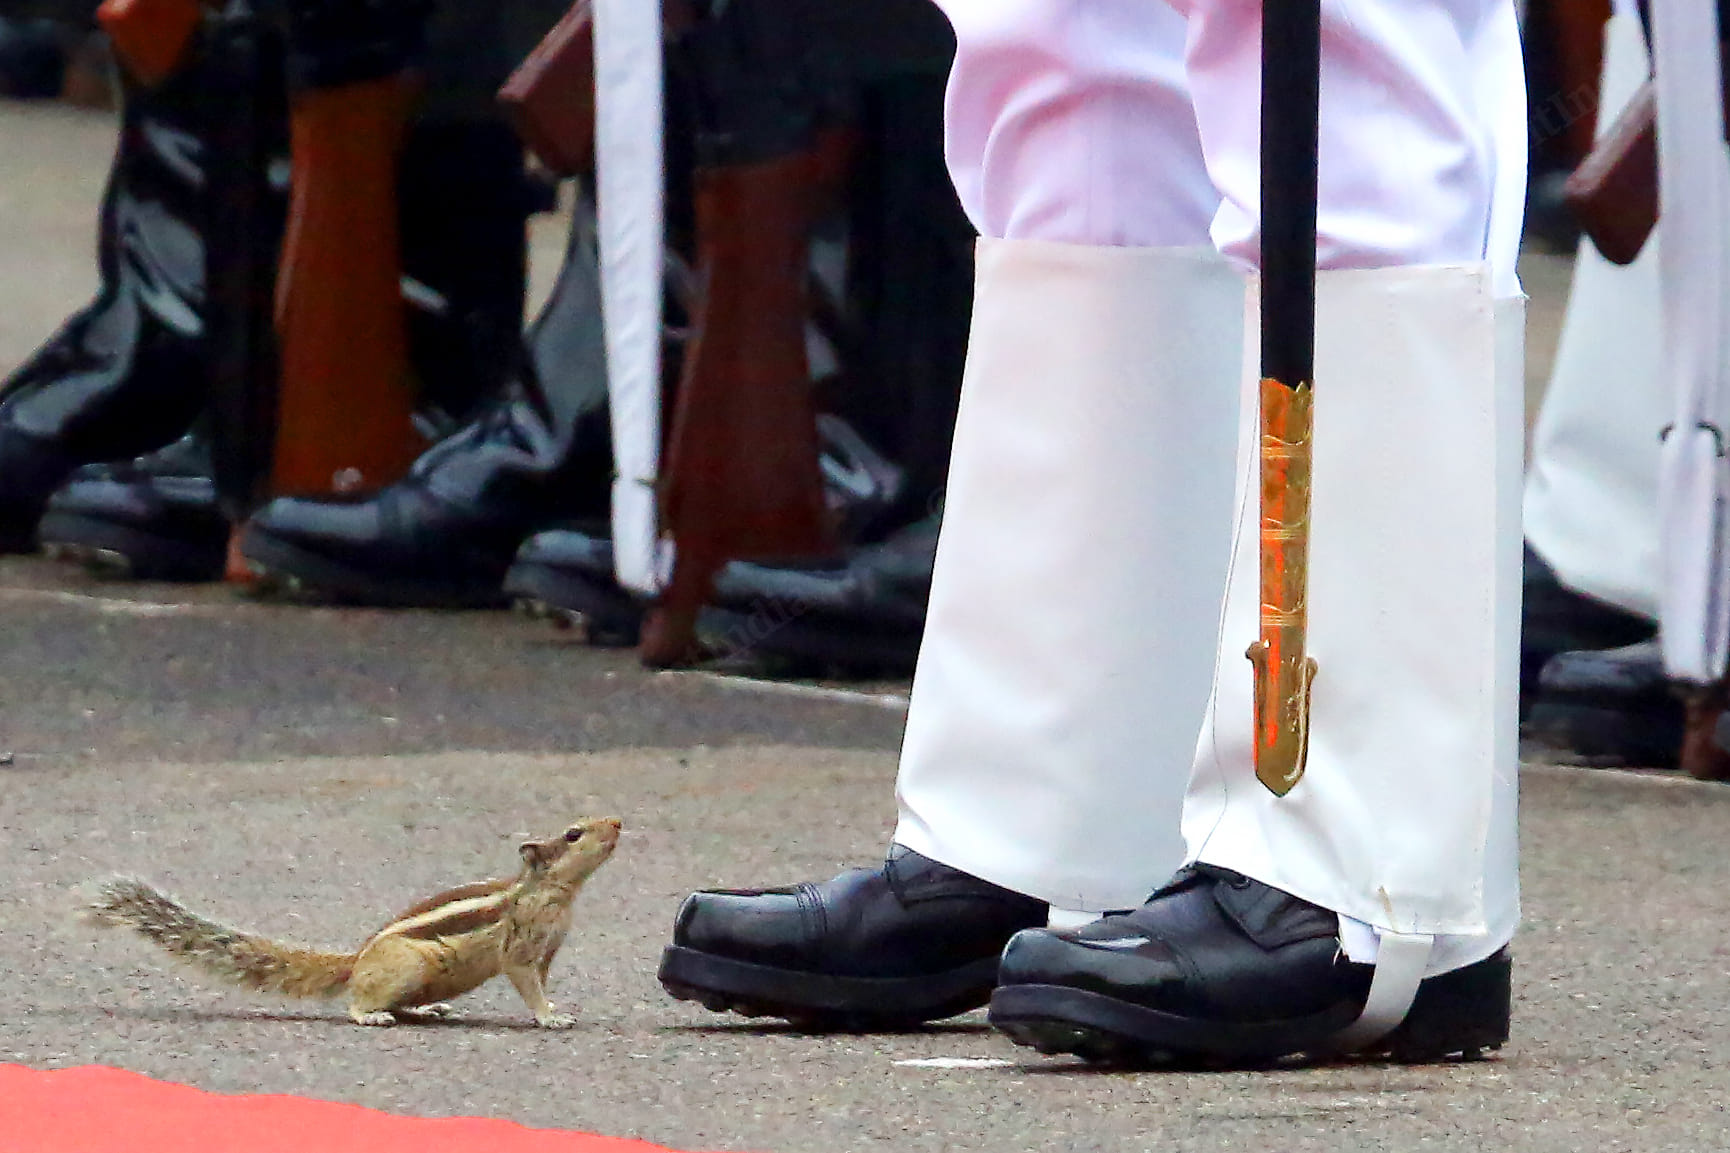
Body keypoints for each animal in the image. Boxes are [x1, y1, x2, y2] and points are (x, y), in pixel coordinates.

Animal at [79, 816, 622, 1028]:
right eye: (573, 834)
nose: (617, 823)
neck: (555, 894)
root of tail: (356, 961)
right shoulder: (522, 946)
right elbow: (524, 980)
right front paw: (549, 1016)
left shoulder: (549, 947)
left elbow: (542, 980)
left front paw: (554, 1007)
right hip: (407, 967)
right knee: (359, 1002)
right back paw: (371, 1014)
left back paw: (425, 1010)